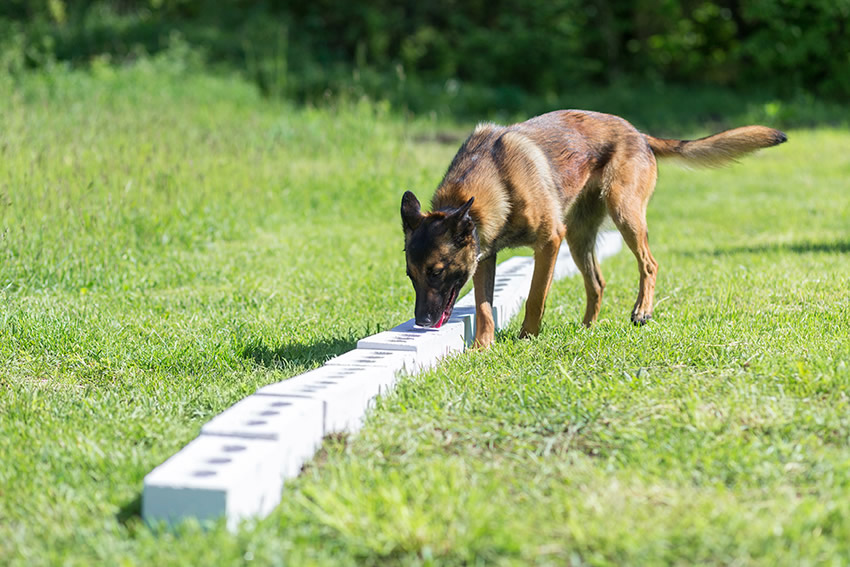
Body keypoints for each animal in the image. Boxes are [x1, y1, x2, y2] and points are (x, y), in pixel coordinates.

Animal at [400, 109, 784, 348]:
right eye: (411, 276)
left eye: (436, 272)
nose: (421, 323)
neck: (493, 181)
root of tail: (639, 133)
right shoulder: (485, 256)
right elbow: (482, 307)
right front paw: (482, 346)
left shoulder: (549, 242)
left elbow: (536, 296)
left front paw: (527, 338)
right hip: (579, 235)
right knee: (597, 283)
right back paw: (587, 329)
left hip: (623, 214)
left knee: (649, 263)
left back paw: (642, 310)